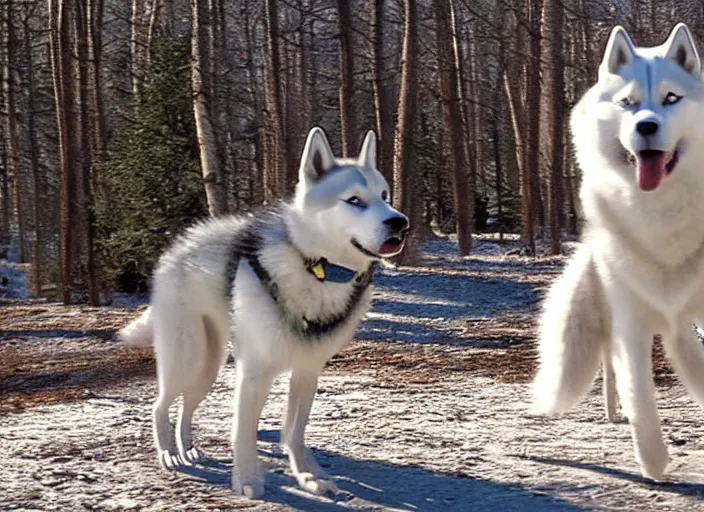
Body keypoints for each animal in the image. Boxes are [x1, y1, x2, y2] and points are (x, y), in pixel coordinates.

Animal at [119, 126, 408, 498]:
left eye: (385, 196)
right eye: (354, 200)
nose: (399, 222)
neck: (315, 269)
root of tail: (177, 247)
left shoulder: (307, 371)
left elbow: (295, 431)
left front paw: (308, 476)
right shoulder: (254, 373)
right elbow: (243, 432)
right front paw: (247, 480)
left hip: (208, 368)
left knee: (185, 406)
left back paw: (190, 448)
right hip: (187, 359)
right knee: (161, 405)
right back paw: (169, 453)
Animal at [532, 24, 704, 480]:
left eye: (671, 98)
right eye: (628, 103)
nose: (645, 127)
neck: (663, 215)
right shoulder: (631, 324)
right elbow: (641, 396)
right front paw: (654, 463)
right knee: (615, 375)